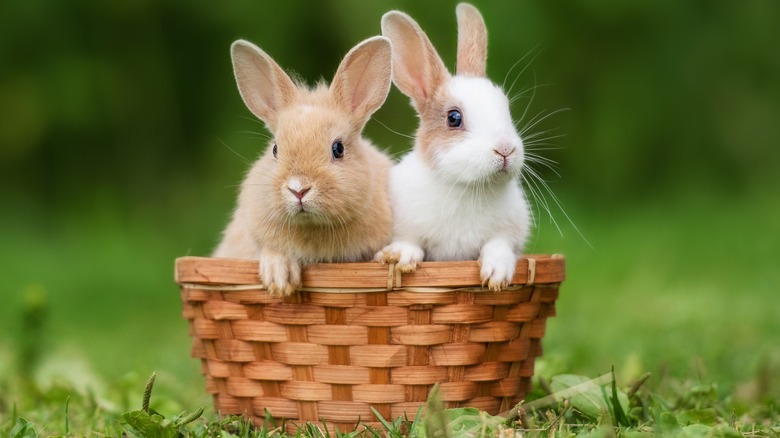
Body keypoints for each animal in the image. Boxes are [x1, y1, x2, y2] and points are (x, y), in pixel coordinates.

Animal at [374, 4, 532, 290]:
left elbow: (499, 246)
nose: (505, 149)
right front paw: (400, 257)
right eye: (454, 118)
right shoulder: (405, 226)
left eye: (506, 108)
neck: (467, 187)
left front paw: (496, 275)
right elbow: (411, 242)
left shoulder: (509, 233)